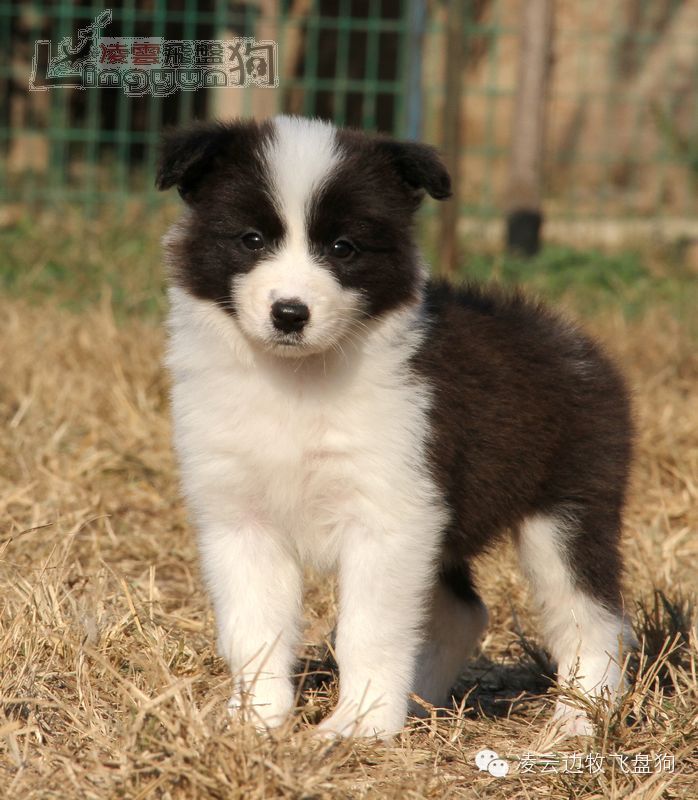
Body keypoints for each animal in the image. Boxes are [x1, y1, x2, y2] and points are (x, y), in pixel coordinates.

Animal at [157, 116, 634, 738]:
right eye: (250, 240)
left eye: (344, 248)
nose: (290, 314)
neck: (299, 382)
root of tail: (577, 343)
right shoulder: (240, 517)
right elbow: (253, 628)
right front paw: (256, 721)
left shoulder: (388, 514)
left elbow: (367, 631)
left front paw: (355, 727)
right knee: (462, 612)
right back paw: (420, 703)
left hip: (569, 509)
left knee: (591, 617)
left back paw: (579, 721)